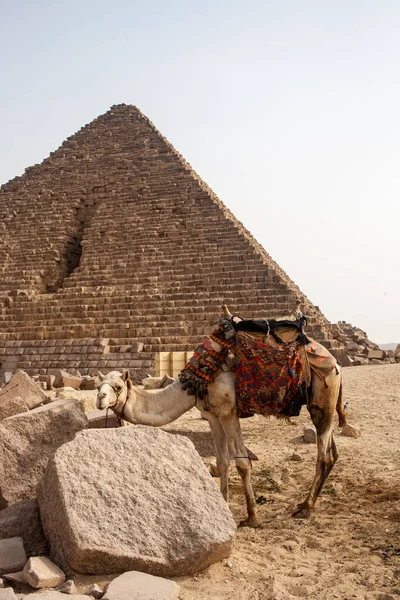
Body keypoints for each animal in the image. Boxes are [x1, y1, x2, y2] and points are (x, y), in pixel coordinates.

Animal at [96, 326, 344, 528]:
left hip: (322, 398)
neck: (196, 381)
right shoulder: (212, 415)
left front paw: (252, 517)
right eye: (99, 386)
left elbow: (242, 463)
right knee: (332, 452)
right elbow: (223, 461)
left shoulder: (228, 412)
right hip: (324, 406)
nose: (99, 399)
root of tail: (336, 363)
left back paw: (306, 507)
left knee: (323, 455)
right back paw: (307, 502)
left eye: (117, 387)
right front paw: (223, 505)